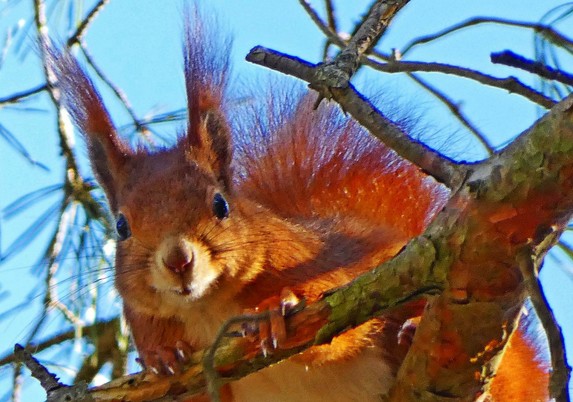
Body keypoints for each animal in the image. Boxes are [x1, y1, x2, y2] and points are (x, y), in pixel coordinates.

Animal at [50, 17, 548, 400]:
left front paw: (275, 309)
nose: (178, 260)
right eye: (121, 226)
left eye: (220, 204)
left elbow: (339, 325)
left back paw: (412, 336)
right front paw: (160, 356)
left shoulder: (324, 263)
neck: (207, 308)